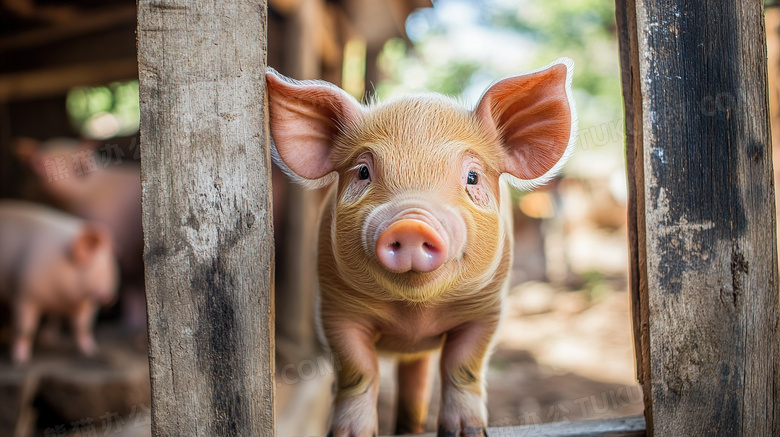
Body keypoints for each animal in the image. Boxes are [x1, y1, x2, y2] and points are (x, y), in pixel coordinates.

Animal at [0, 199, 119, 362]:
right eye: (98, 267)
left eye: (112, 268)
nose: (110, 297)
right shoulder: (23, 294)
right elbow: (25, 329)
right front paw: (20, 361)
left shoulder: (85, 303)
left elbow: (83, 327)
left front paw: (92, 352)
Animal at [268, 58, 580, 436]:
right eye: (362, 172)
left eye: (472, 177)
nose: (412, 223)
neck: (413, 313)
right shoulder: (335, 308)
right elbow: (358, 368)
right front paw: (350, 434)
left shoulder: (486, 308)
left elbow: (463, 365)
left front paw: (466, 432)